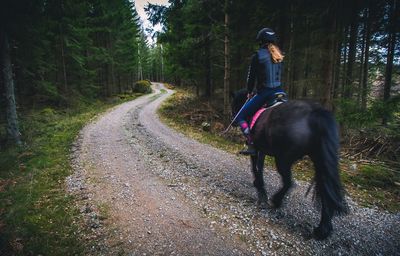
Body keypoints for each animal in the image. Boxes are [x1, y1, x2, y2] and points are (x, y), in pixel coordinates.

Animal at [231, 88, 346, 240]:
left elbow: (255, 166)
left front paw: (259, 185)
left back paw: (276, 200)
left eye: (235, 103)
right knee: (325, 191)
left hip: (283, 159)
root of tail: (315, 113)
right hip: (319, 161)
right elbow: (260, 166)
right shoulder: (262, 149)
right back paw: (322, 230)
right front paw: (259, 184)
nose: (233, 121)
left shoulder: (257, 148)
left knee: (289, 182)